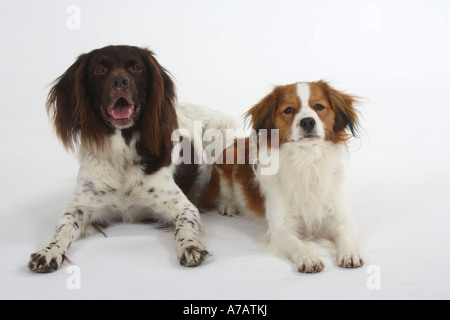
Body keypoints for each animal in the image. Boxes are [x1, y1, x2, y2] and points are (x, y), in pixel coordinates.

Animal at [199, 80, 364, 272]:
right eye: (289, 110)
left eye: (319, 107)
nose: (307, 122)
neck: (306, 159)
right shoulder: (280, 228)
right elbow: (297, 243)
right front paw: (308, 258)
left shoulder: (340, 217)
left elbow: (345, 233)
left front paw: (349, 253)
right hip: (228, 157)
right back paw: (228, 205)